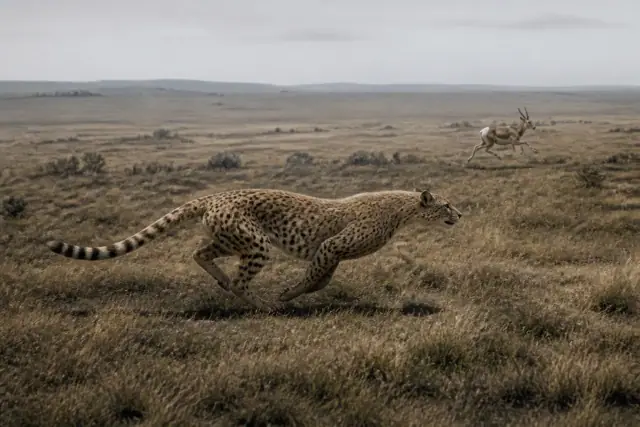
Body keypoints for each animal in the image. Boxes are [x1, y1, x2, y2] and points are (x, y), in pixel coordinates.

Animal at [46, 188, 463, 311]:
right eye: (445, 205)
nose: (459, 214)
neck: (404, 208)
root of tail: (215, 195)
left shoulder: (331, 252)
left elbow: (322, 280)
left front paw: (295, 292)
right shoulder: (331, 246)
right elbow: (314, 278)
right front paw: (286, 295)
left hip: (230, 238)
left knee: (200, 254)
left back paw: (223, 282)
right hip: (256, 243)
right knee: (240, 281)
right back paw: (262, 305)